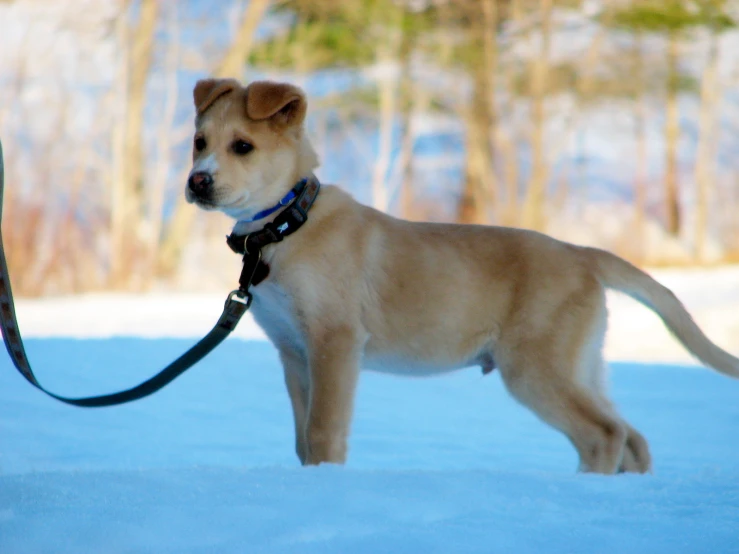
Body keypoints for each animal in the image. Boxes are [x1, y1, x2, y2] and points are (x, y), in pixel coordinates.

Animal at [186, 78, 739, 474]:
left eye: (242, 146)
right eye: (198, 142)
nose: (197, 181)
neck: (284, 227)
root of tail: (582, 253)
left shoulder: (335, 342)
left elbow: (322, 431)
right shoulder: (294, 352)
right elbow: (302, 437)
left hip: (536, 366)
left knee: (604, 435)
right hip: (580, 363)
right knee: (632, 437)